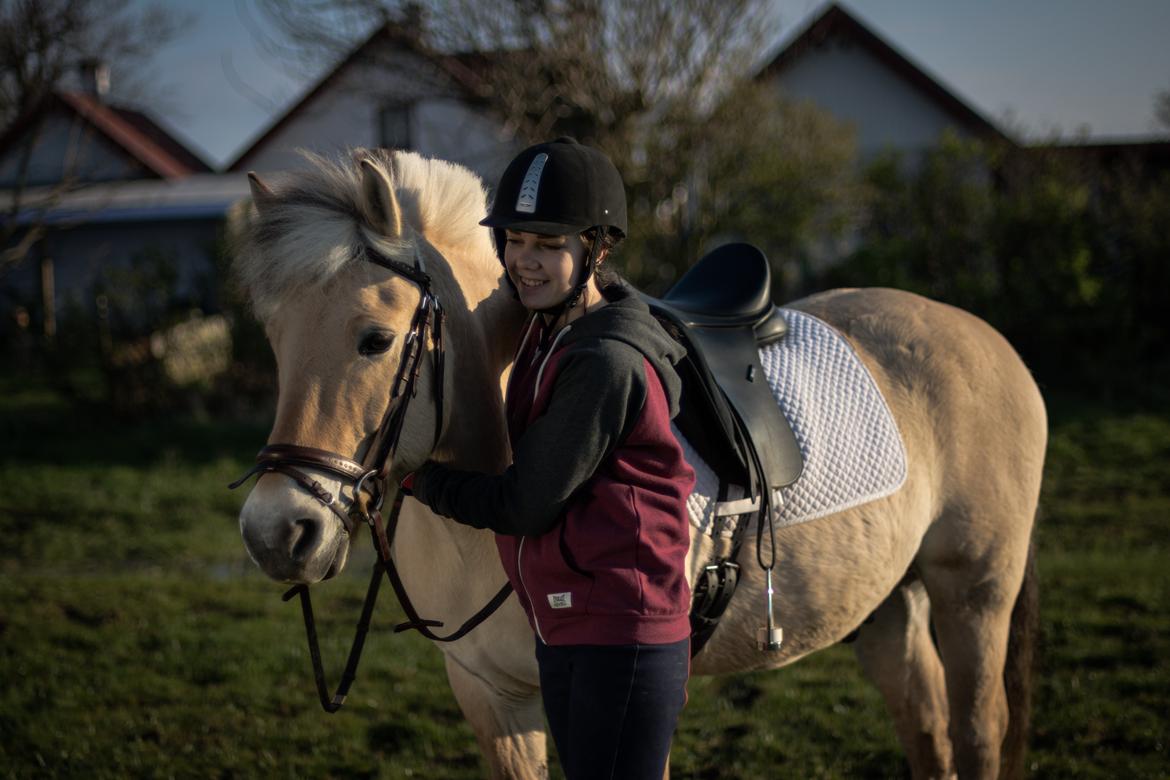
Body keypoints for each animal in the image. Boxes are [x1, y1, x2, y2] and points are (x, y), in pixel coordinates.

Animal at [232, 147, 1048, 780]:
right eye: (275, 341)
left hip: (975, 593)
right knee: (928, 728)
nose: (276, 533)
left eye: (374, 339)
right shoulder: (495, 701)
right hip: (885, 602)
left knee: (977, 732)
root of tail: (981, 334)